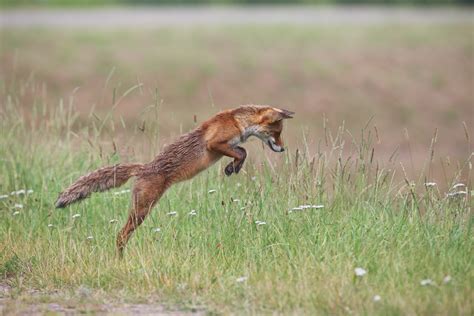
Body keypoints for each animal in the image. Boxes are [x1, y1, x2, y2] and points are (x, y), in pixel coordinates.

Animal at [54, 104, 292, 256]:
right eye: (277, 132)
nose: (283, 149)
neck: (237, 120)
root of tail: (144, 168)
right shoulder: (214, 144)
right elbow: (242, 151)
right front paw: (233, 166)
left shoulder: (225, 145)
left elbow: (241, 152)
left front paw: (232, 167)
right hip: (142, 210)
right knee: (120, 235)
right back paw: (120, 259)